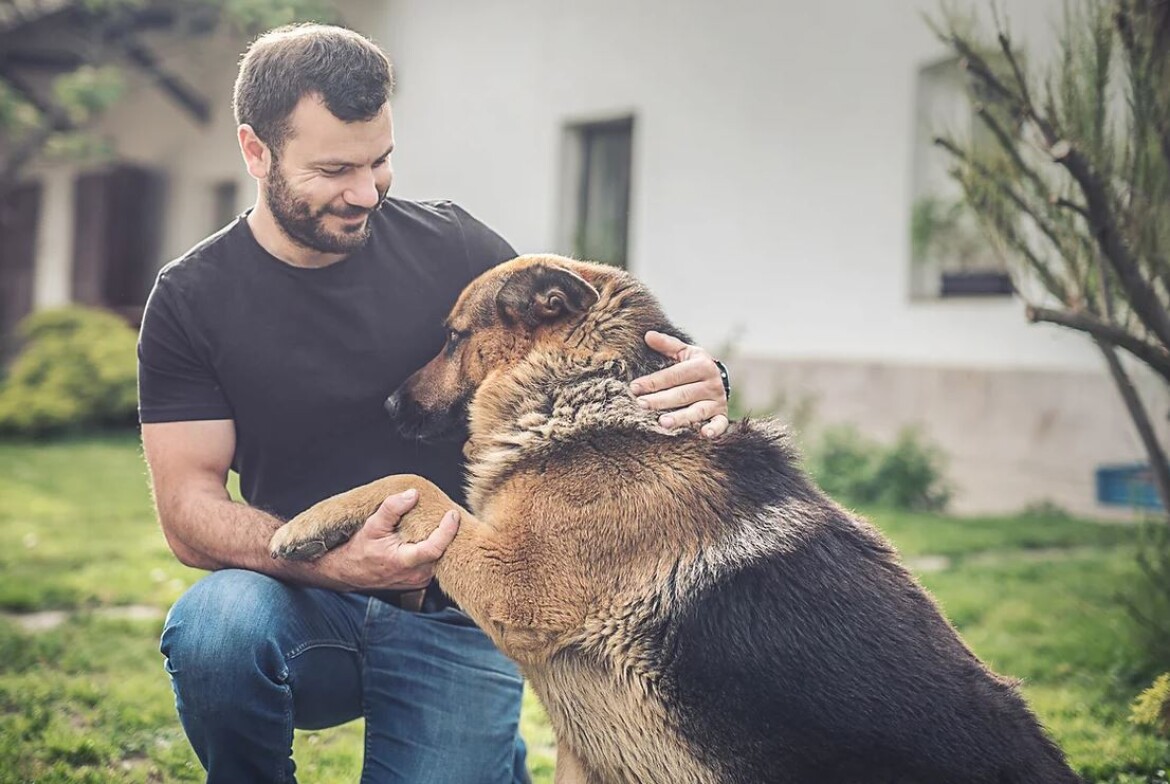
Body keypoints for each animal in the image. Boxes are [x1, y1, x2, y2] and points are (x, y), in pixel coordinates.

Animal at [269, 255, 1081, 781]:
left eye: (451, 337)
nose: (387, 406)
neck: (586, 398)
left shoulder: (520, 586)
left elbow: (412, 483)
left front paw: (304, 522)